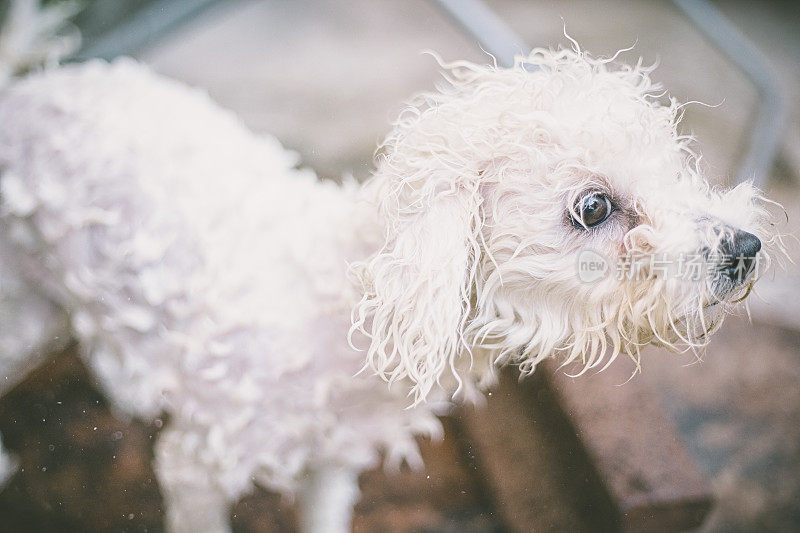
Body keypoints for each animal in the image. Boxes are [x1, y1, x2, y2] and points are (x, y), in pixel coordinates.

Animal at [0, 47, 776, 528]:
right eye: (593, 207)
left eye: (673, 164)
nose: (746, 248)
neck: (340, 320)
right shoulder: (196, 465)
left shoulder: (332, 461)